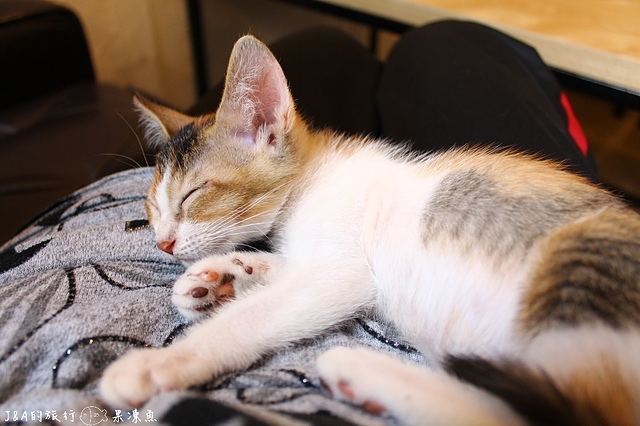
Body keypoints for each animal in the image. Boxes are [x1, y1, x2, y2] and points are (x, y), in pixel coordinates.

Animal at [100, 34, 640, 425]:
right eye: (151, 208)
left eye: (193, 195)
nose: (163, 243)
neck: (309, 182)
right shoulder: (321, 260)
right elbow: (285, 266)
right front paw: (221, 277)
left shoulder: (343, 273)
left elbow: (258, 314)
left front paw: (157, 365)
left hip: (581, 263)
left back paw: (362, 370)